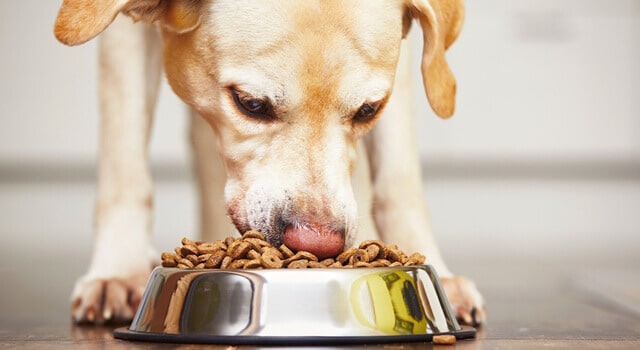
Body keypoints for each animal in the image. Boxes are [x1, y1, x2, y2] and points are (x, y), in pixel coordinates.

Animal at [55, 0, 484, 326]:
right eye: (250, 104)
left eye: (368, 110)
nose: (317, 243)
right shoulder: (120, 39)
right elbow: (124, 163)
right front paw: (118, 271)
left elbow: (400, 177)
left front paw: (432, 267)